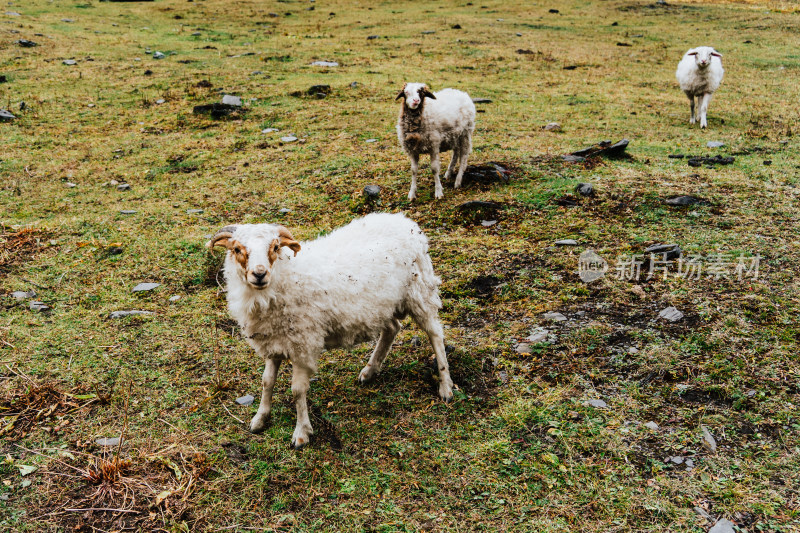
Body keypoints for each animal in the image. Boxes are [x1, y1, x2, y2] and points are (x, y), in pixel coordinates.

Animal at [208, 212, 456, 448]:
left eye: (276, 247)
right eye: (237, 249)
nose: (259, 274)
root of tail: (404, 220)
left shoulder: (303, 344)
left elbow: (297, 390)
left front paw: (301, 433)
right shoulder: (273, 341)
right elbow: (266, 381)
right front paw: (260, 419)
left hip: (420, 291)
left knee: (435, 334)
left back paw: (446, 386)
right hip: (383, 305)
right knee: (392, 329)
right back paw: (370, 371)